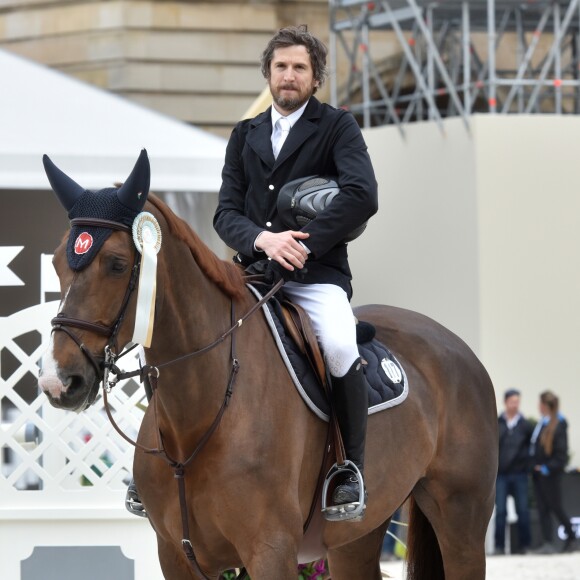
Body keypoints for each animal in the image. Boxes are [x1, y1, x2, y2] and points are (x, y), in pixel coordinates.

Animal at [38, 153, 498, 580]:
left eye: (116, 264)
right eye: (58, 263)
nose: (59, 382)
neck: (197, 419)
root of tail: (455, 345)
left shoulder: (270, 549)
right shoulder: (175, 556)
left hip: (461, 522)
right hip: (357, 537)